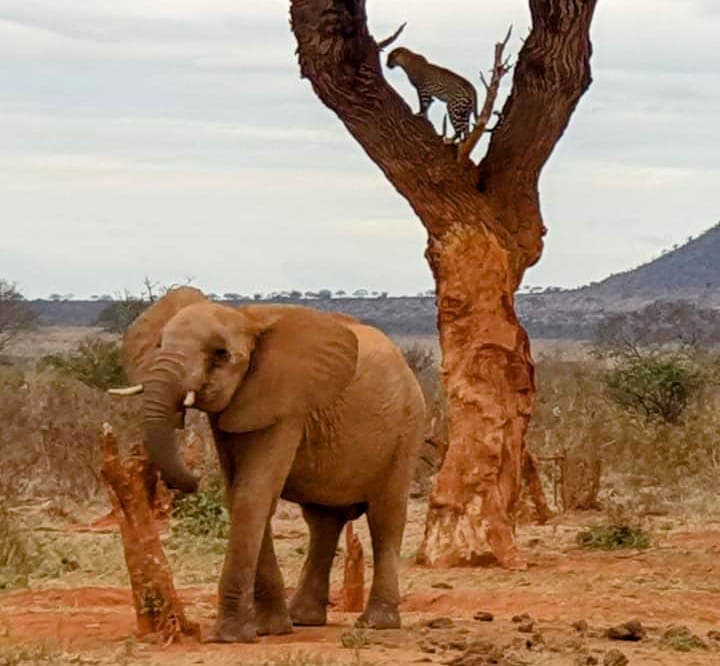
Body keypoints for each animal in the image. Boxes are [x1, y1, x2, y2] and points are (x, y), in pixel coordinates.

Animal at [110, 287, 426, 643]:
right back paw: (303, 619)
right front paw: (269, 629)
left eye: (221, 354)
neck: (247, 319)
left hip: (406, 430)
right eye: (159, 345)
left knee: (385, 517)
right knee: (323, 522)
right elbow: (239, 495)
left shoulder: (286, 406)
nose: (194, 479)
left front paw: (232, 637)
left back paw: (376, 623)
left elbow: (254, 493)